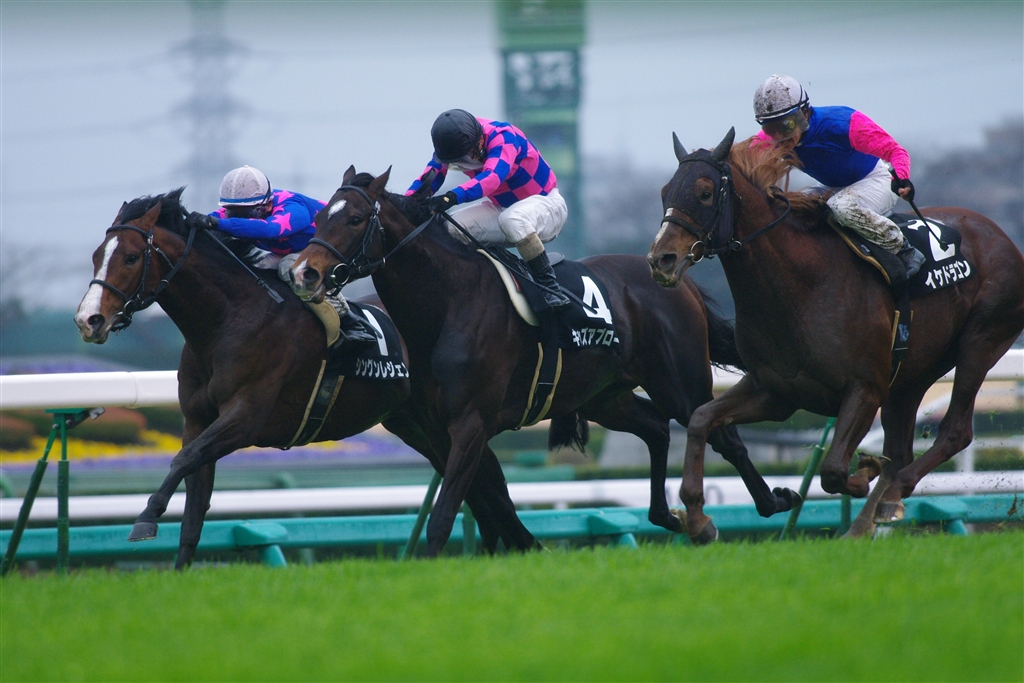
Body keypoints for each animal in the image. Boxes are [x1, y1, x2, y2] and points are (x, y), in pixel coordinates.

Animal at [74, 188, 536, 567]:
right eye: (96, 255)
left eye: (131, 257)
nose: (88, 319)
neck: (228, 320)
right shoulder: (197, 419)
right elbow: (194, 503)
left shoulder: (247, 416)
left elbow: (183, 459)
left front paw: (145, 519)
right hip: (419, 424)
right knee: (483, 482)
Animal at [287, 166, 800, 556]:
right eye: (321, 215)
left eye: (355, 218)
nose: (305, 272)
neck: (447, 303)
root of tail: (674, 275)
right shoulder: (433, 427)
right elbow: (488, 498)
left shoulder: (470, 422)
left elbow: (449, 510)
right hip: (604, 396)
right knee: (657, 428)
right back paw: (668, 516)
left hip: (679, 381)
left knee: (719, 432)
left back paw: (764, 504)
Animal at [648, 128, 1024, 542]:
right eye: (665, 192)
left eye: (704, 192)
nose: (661, 259)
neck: (800, 286)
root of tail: (1001, 235)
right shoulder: (776, 391)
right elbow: (701, 419)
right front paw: (697, 517)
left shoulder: (864, 388)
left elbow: (833, 470)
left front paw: (865, 469)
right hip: (911, 375)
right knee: (901, 450)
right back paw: (865, 523)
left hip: (982, 338)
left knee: (954, 432)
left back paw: (891, 496)